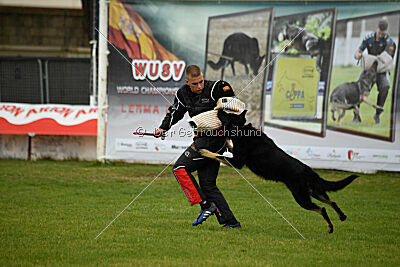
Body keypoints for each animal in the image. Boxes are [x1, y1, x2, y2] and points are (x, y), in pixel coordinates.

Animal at [202, 110, 358, 233]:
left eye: (227, 114)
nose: (218, 110)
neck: (241, 129)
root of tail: (307, 170)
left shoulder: (237, 162)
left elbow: (217, 155)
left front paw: (203, 150)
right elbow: (228, 147)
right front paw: (226, 143)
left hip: (301, 198)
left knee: (322, 209)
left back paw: (330, 227)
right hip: (314, 192)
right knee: (332, 202)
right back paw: (342, 216)